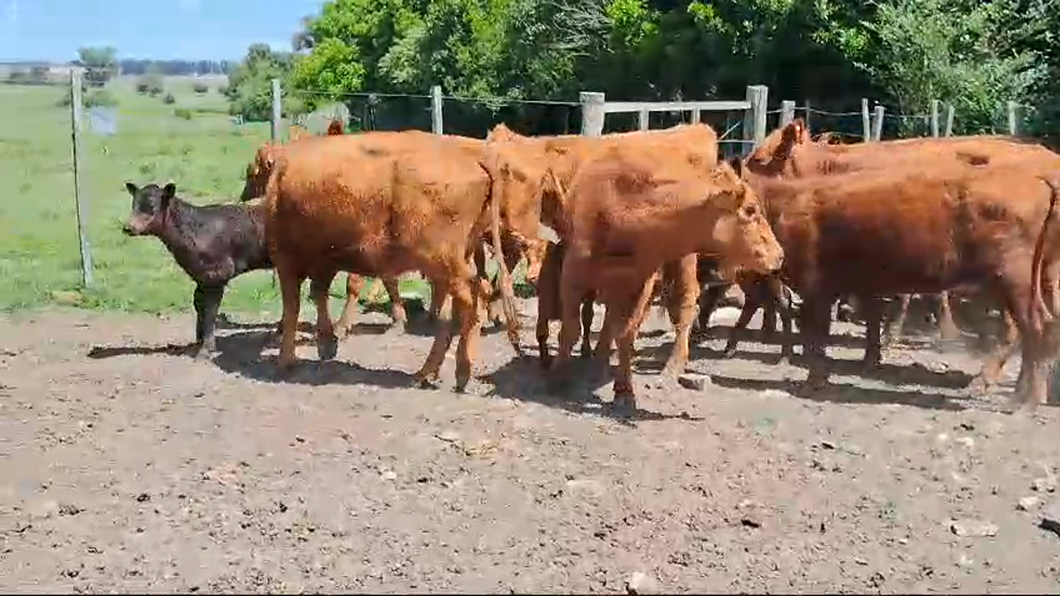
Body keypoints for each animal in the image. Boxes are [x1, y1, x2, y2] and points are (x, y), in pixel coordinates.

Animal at [123, 181, 273, 356]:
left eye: (152, 207)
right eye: (134, 204)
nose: (128, 227)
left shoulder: (217, 274)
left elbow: (210, 311)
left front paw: (206, 349)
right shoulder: (201, 277)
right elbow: (198, 304)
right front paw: (198, 340)